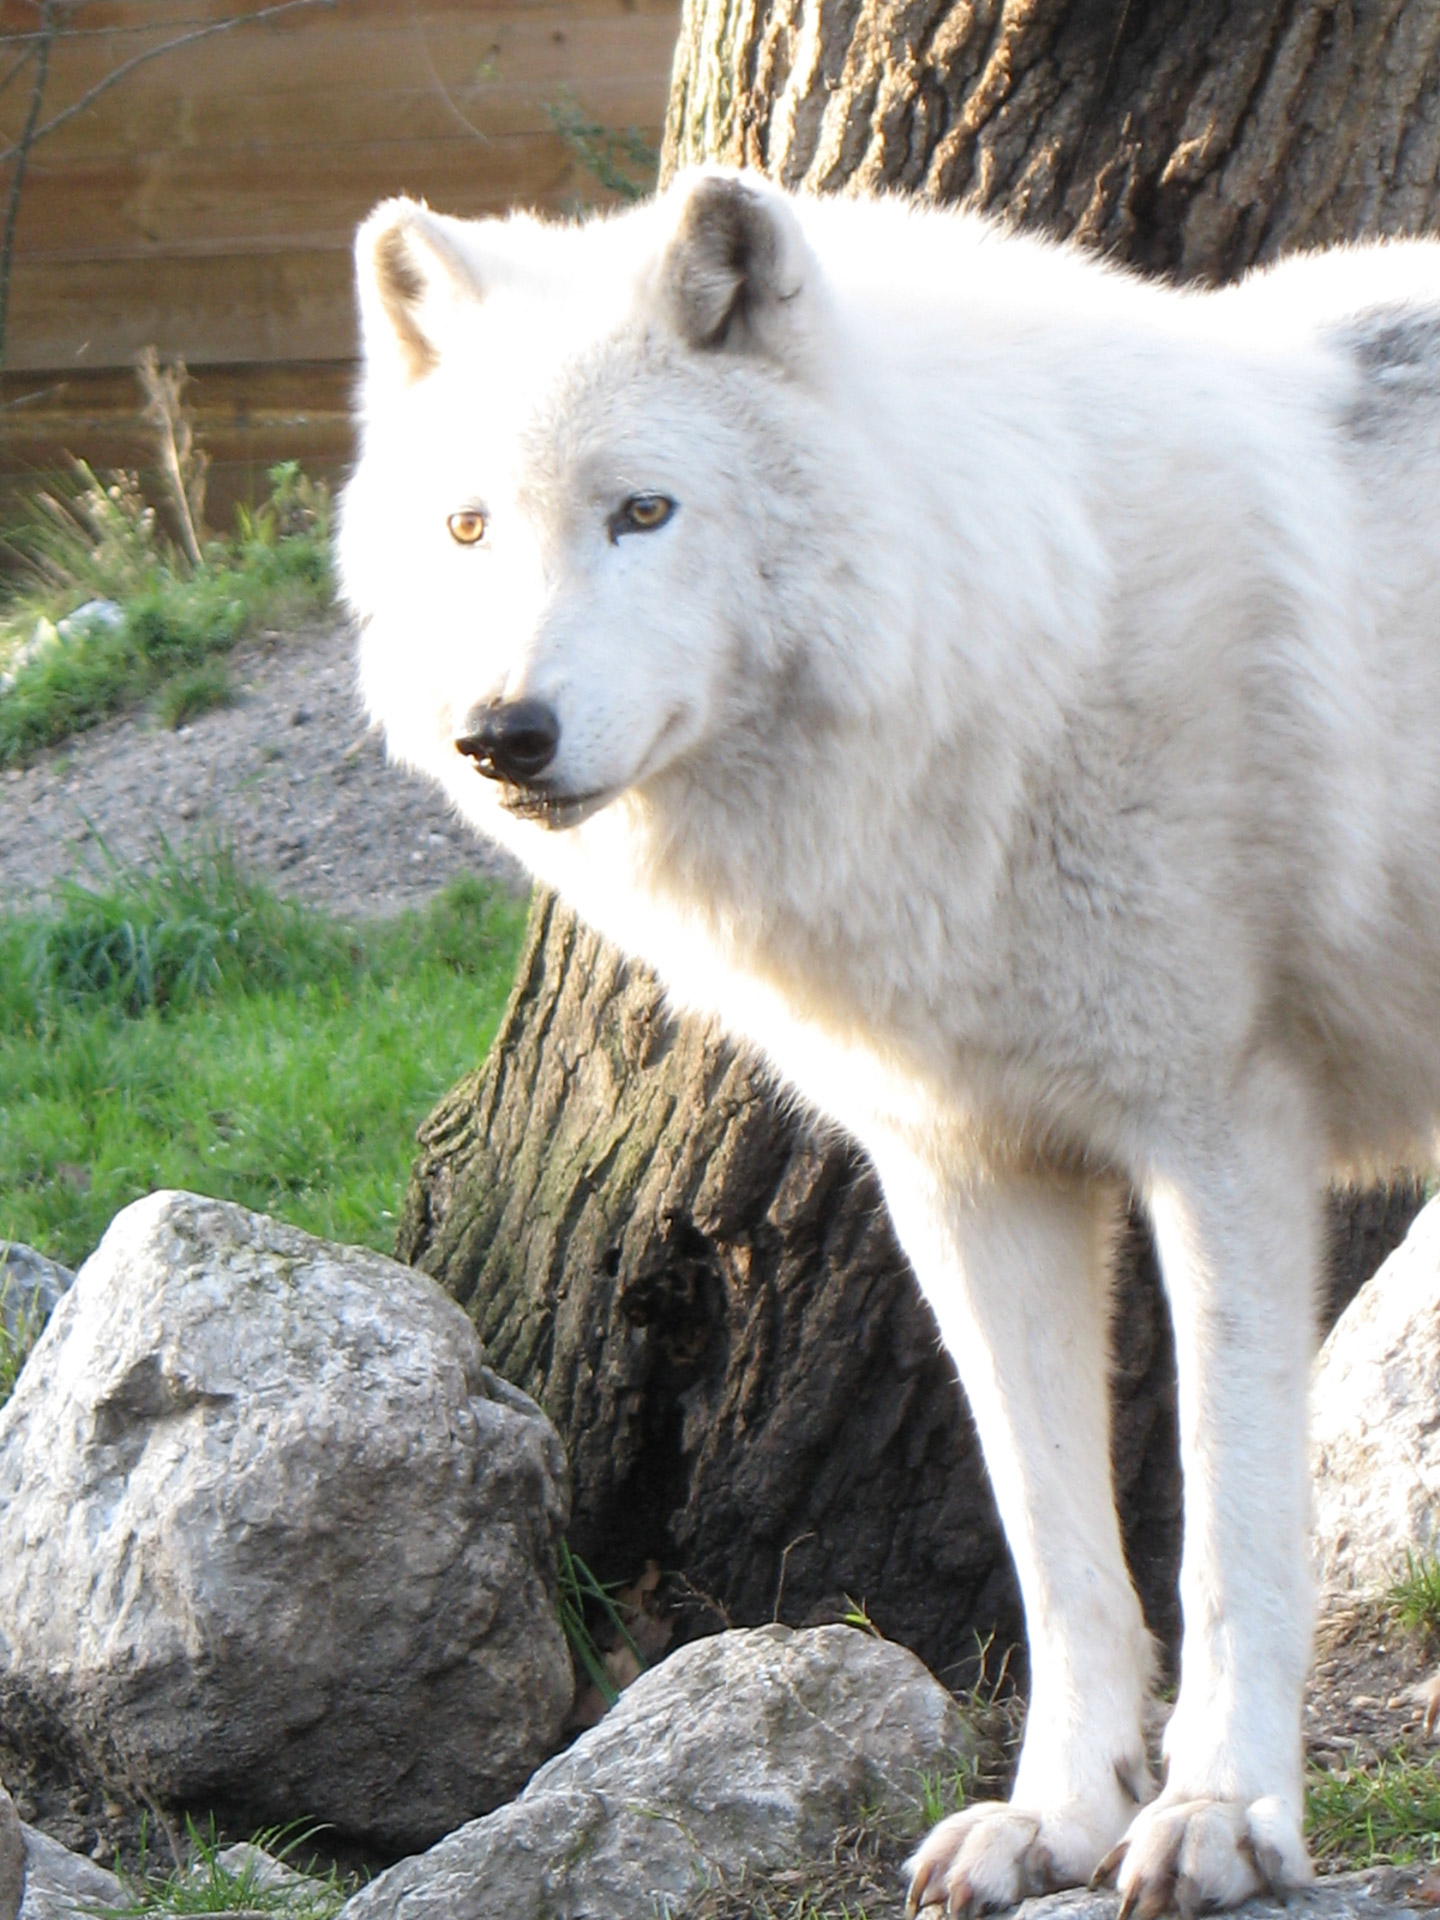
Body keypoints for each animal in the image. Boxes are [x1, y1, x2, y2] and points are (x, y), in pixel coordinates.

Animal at [341, 172, 1440, 1912]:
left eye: (641, 512)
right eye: (468, 529)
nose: (501, 736)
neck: (1018, 636)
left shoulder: (1227, 1141)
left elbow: (1231, 1533)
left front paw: (1223, 1816)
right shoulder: (970, 1175)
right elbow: (1055, 1543)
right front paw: (1055, 1818)